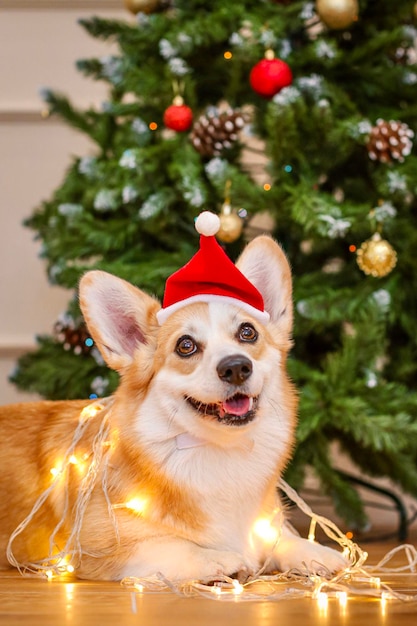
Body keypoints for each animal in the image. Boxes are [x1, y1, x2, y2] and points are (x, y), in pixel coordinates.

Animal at [0, 221, 346, 580]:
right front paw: (221, 559)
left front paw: (315, 551)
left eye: (248, 332)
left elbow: (279, 535)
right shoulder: (93, 546)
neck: (220, 450)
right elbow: (172, 545)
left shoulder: (263, 525)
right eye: (186, 345)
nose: (236, 367)